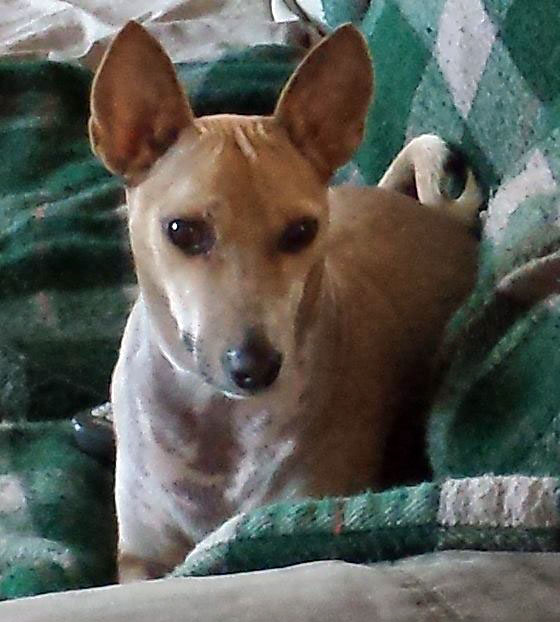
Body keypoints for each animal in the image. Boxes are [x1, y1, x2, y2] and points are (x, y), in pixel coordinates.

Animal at [89, 21, 482, 582]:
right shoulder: (140, 560)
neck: (217, 423)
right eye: (182, 231)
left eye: (301, 232)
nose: (254, 368)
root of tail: (437, 218)